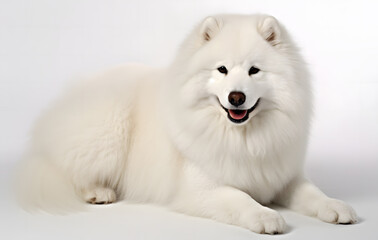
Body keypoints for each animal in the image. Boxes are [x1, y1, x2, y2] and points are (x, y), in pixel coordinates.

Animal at [16, 13, 356, 234]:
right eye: (222, 69)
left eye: (254, 70)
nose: (236, 97)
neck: (242, 137)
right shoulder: (199, 187)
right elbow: (239, 197)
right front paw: (265, 215)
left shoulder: (281, 176)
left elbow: (312, 192)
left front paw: (336, 207)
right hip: (109, 129)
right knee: (71, 172)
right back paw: (99, 192)